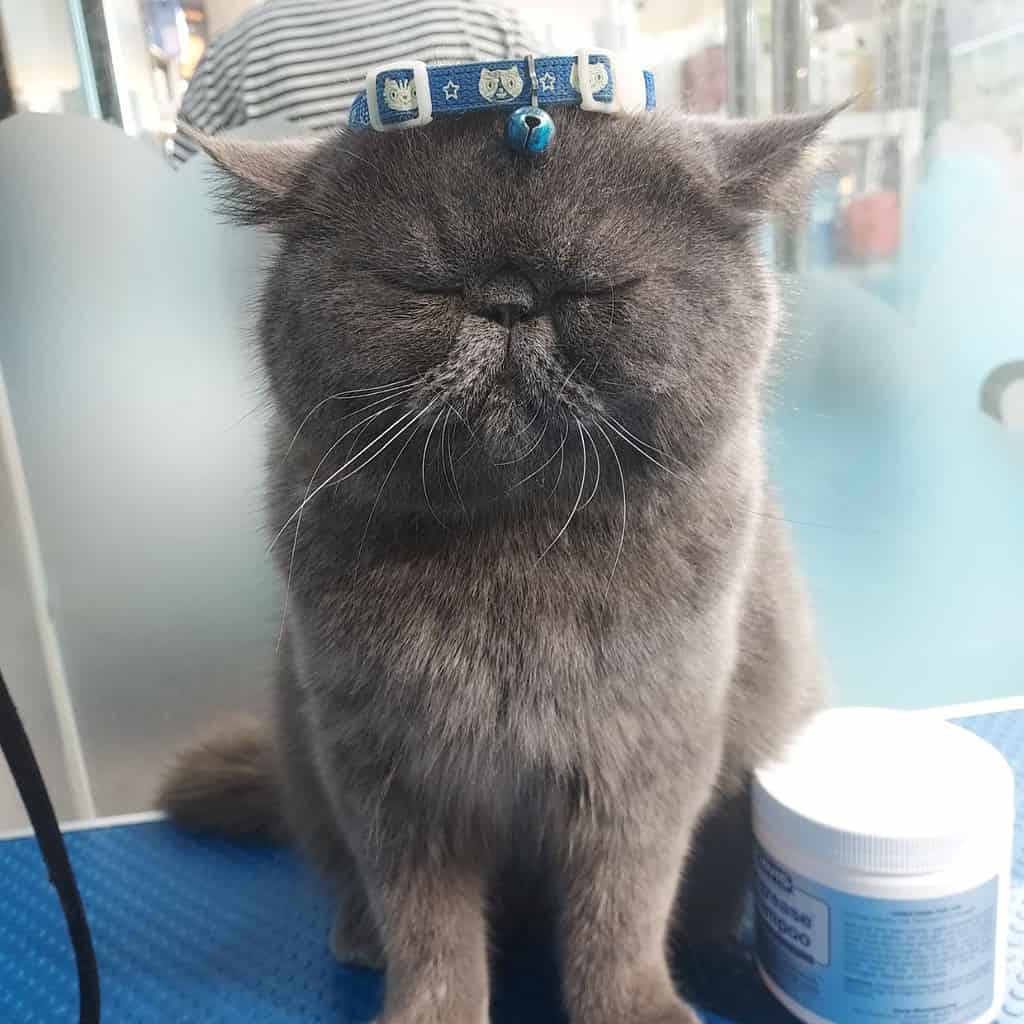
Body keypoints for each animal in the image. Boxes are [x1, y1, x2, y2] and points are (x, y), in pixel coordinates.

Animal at [160, 104, 834, 1024]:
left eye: (595, 287)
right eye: (423, 284)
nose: (510, 300)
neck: (513, 553)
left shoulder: (648, 755)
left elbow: (622, 907)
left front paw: (633, 1006)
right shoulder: (382, 764)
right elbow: (425, 919)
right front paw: (431, 1008)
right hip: (302, 754)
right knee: (345, 876)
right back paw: (358, 936)